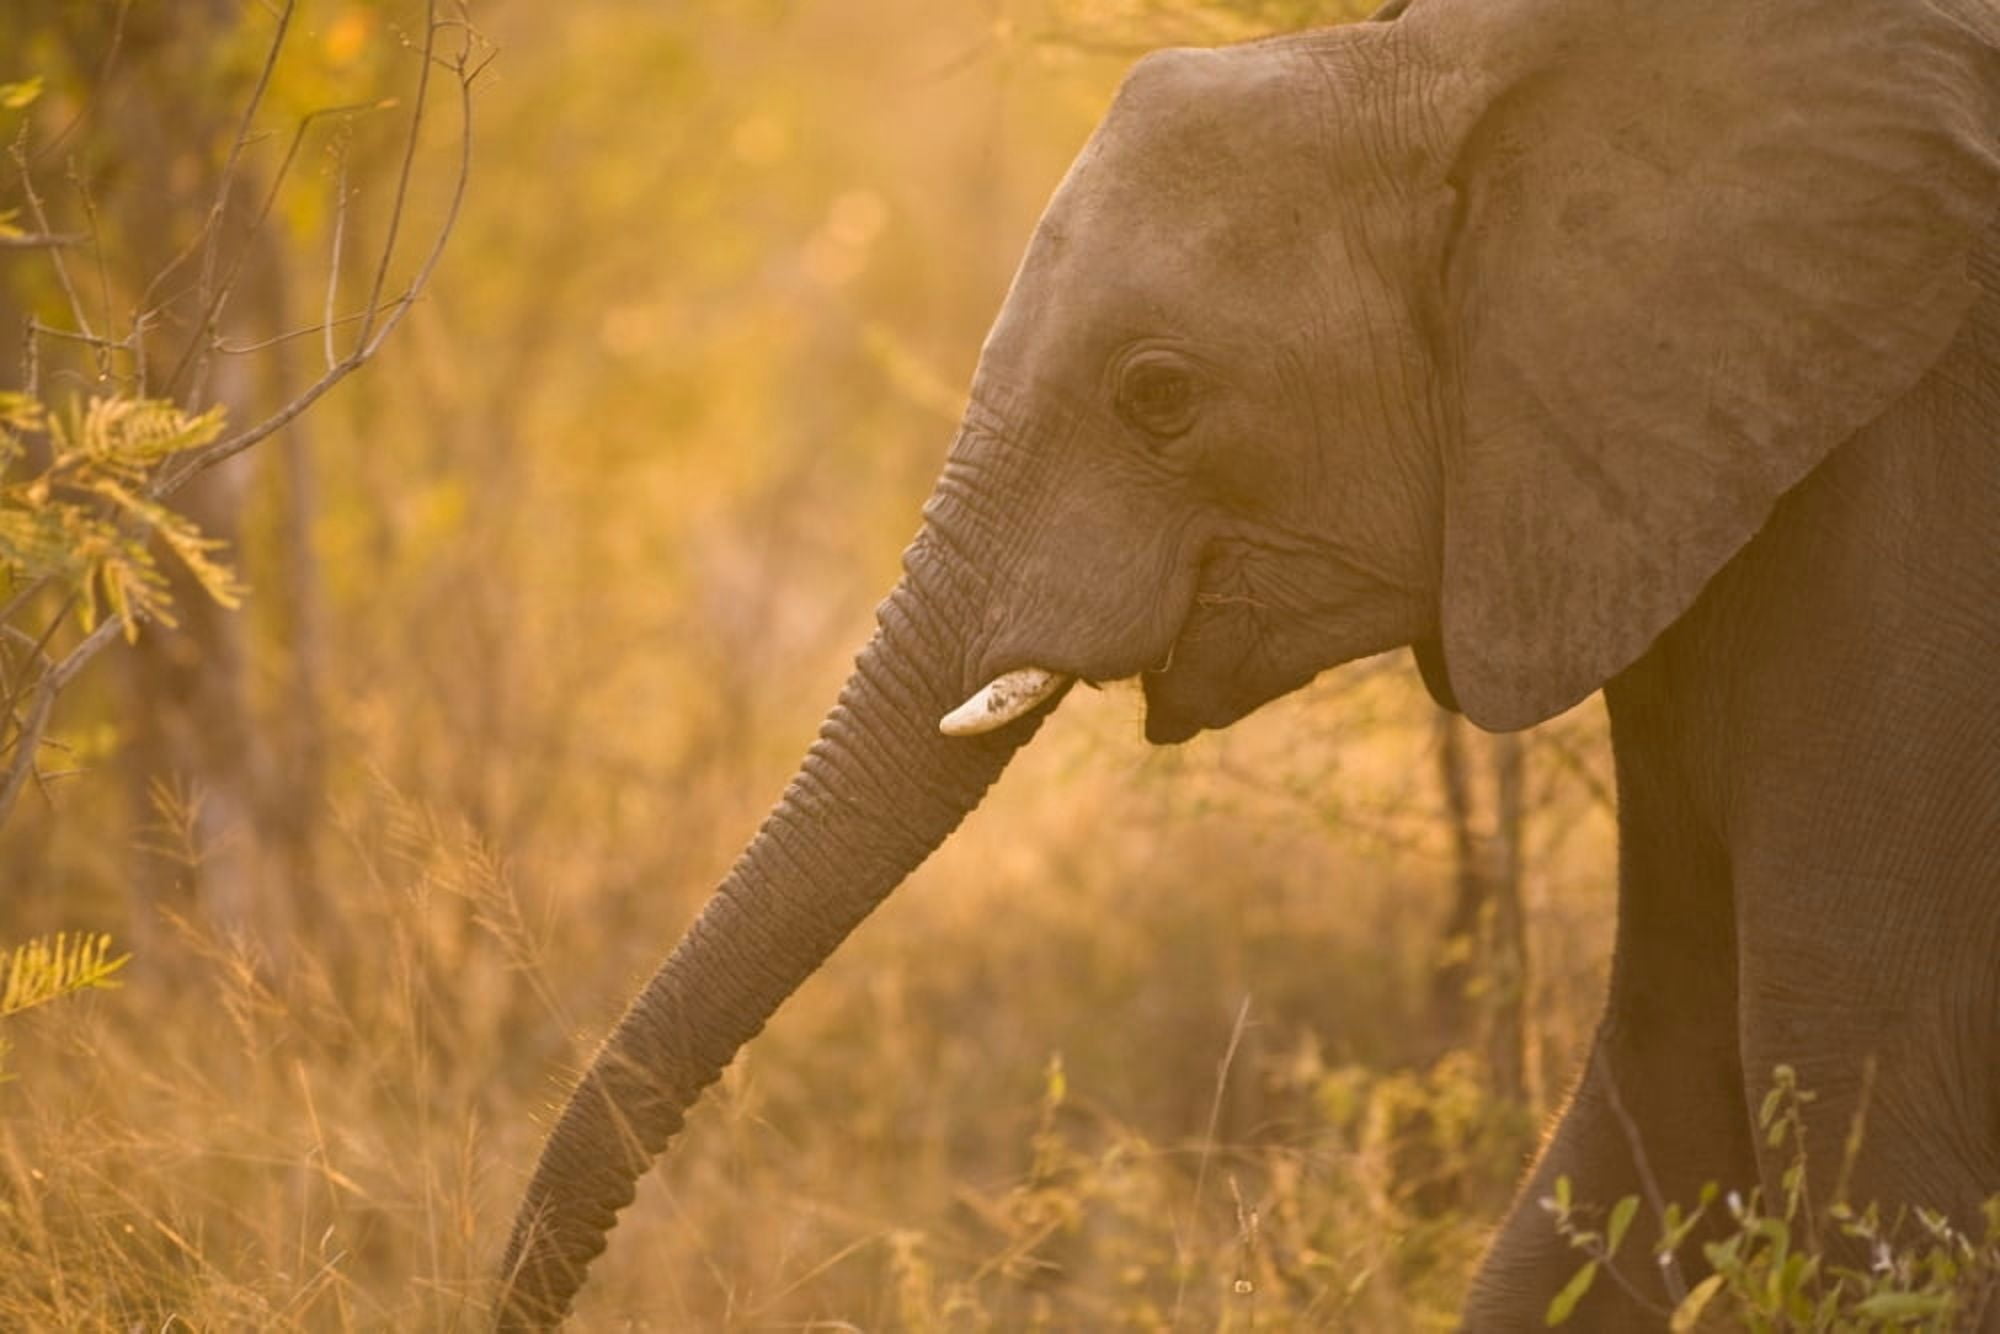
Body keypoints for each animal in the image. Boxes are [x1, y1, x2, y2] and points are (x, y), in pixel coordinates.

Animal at [497, 0, 2000, 1325]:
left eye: (1158, 394)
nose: (508, 1298)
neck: (1476, 70)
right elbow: (1656, 1088)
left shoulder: (1909, 510)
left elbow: (1849, 1105)